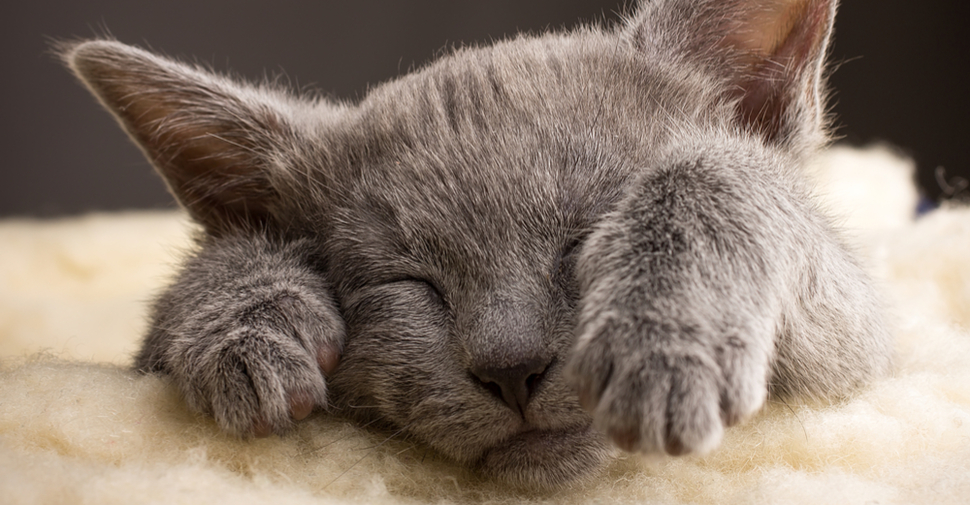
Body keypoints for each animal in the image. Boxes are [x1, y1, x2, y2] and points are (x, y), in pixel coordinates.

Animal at [62, 0, 892, 490]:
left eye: (592, 239)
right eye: (409, 284)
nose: (511, 368)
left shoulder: (855, 341)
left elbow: (713, 170)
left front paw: (661, 341)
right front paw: (247, 323)